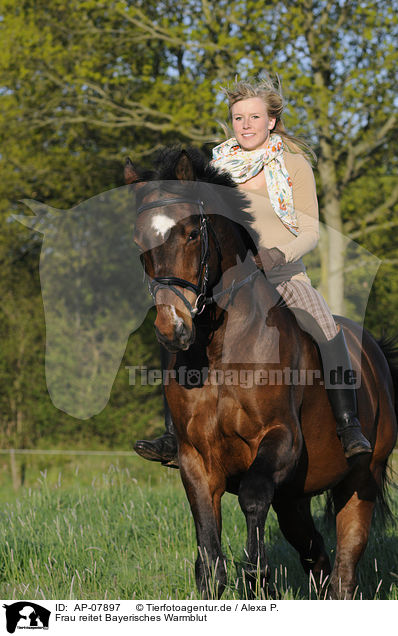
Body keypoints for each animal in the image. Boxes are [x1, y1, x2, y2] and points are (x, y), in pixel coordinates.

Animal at [125, 147, 398, 600]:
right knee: (316, 555)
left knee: (345, 565)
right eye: (139, 241)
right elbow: (207, 542)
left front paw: (257, 574)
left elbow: (252, 497)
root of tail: (375, 350)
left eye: (192, 234)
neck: (218, 349)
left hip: (361, 478)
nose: (172, 328)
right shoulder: (195, 459)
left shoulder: (280, 438)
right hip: (294, 497)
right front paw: (223, 579)